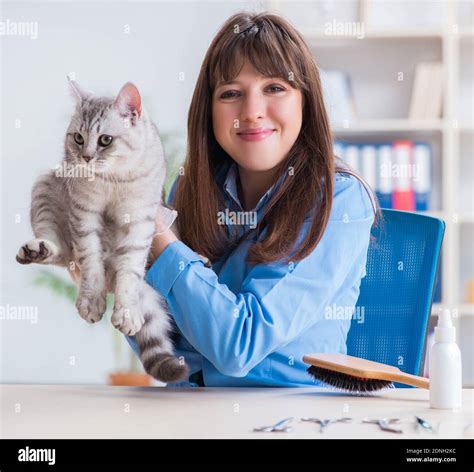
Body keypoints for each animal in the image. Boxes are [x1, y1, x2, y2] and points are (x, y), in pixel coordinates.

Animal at [18, 80, 189, 384]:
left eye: (105, 140)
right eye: (78, 138)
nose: (86, 157)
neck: (113, 179)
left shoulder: (141, 220)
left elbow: (131, 270)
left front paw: (128, 311)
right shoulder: (83, 213)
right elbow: (89, 260)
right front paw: (91, 301)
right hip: (45, 186)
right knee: (63, 251)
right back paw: (36, 250)